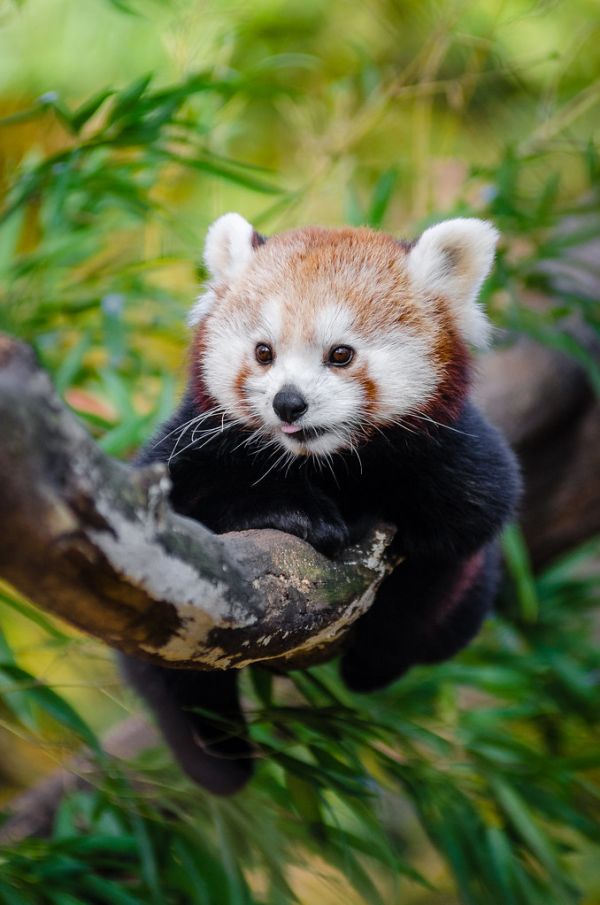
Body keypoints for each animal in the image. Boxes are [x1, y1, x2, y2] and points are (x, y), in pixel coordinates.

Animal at [120, 213, 521, 795]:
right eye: (264, 352)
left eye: (341, 354)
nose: (289, 402)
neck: (326, 464)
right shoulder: (187, 451)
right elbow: (200, 493)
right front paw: (302, 517)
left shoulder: (463, 471)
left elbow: (446, 551)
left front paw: (373, 662)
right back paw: (216, 753)